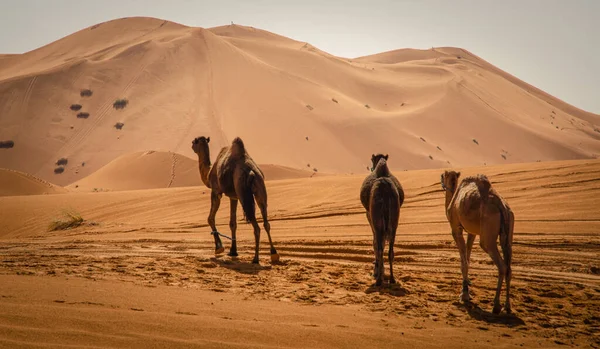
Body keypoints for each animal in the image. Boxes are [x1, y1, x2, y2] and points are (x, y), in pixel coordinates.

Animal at [191, 136, 280, 264]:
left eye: (195, 141)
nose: (191, 144)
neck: (209, 172)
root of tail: (252, 173)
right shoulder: (233, 197)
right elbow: (233, 223)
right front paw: (233, 251)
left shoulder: (216, 191)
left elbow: (210, 218)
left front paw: (219, 248)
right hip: (260, 189)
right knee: (266, 221)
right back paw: (274, 254)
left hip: (243, 192)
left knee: (256, 227)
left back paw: (255, 259)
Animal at [358, 154, 406, 284]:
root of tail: (385, 190)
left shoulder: (369, 216)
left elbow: (375, 243)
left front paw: (377, 271)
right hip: (394, 219)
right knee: (390, 250)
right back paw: (392, 279)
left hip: (377, 217)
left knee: (379, 246)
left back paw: (379, 280)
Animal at [440, 170, 516, 314]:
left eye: (442, 176)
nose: (441, 181)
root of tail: (501, 206)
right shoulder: (472, 232)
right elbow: (467, 255)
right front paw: (467, 284)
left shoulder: (456, 228)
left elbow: (464, 262)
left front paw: (464, 294)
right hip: (509, 227)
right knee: (508, 266)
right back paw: (507, 306)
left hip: (488, 233)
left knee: (501, 265)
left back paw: (496, 305)